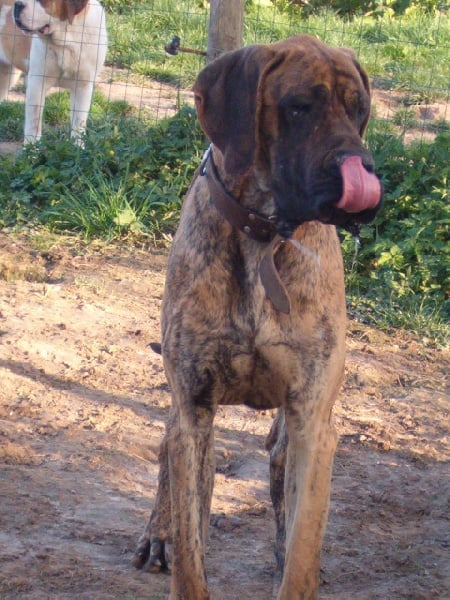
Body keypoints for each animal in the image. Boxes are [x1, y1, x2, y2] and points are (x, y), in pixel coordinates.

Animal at [0, 0, 107, 143]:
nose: (17, 5)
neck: (67, 42)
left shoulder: (83, 86)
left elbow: (79, 125)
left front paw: (77, 147)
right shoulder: (37, 84)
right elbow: (33, 125)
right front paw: (30, 149)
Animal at [134, 35, 384, 596]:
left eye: (359, 110)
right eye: (299, 107)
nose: (363, 173)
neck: (263, 237)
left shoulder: (313, 422)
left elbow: (302, 548)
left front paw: (296, 560)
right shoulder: (195, 411)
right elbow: (191, 555)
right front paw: (174, 541)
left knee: (277, 468)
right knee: (166, 449)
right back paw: (158, 532)